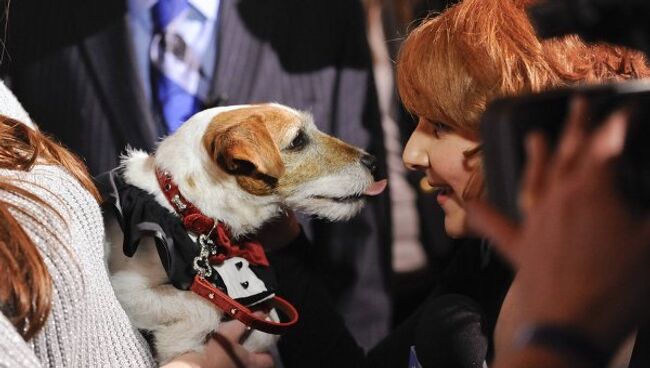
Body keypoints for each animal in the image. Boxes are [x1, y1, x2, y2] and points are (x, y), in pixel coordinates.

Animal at [102, 104, 384, 366]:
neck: (184, 209)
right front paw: (177, 345)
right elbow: (204, 308)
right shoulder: (124, 288)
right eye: (298, 140)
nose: (374, 162)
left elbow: (264, 329)